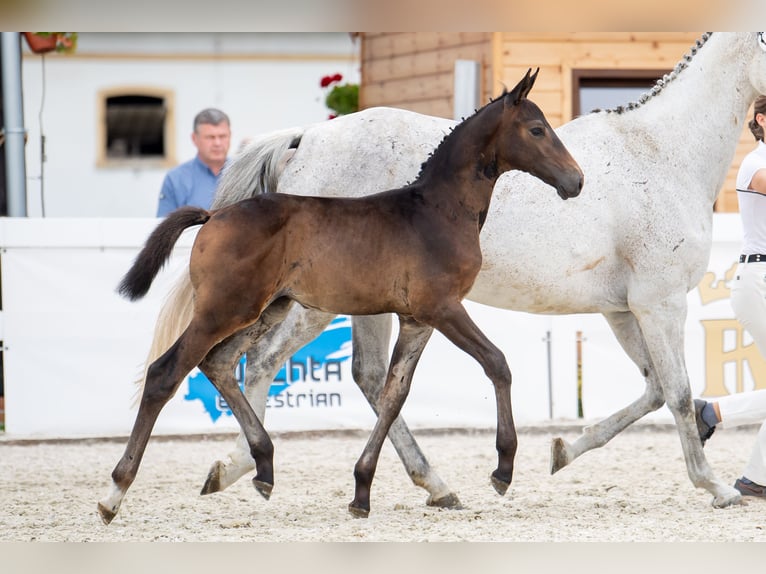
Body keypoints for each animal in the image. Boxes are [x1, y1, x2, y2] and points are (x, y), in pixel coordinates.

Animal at [144, 32, 766, 508]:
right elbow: (678, 392)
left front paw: (563, 452)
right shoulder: (660, 303)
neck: (660, 153)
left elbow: (655, 389)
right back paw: (245, 468)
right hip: (315, 304)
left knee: (363, 376)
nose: (574, 182)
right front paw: (714, 486)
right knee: (267, 362)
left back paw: (426, 483)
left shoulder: (623, 310)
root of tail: (307, 137)